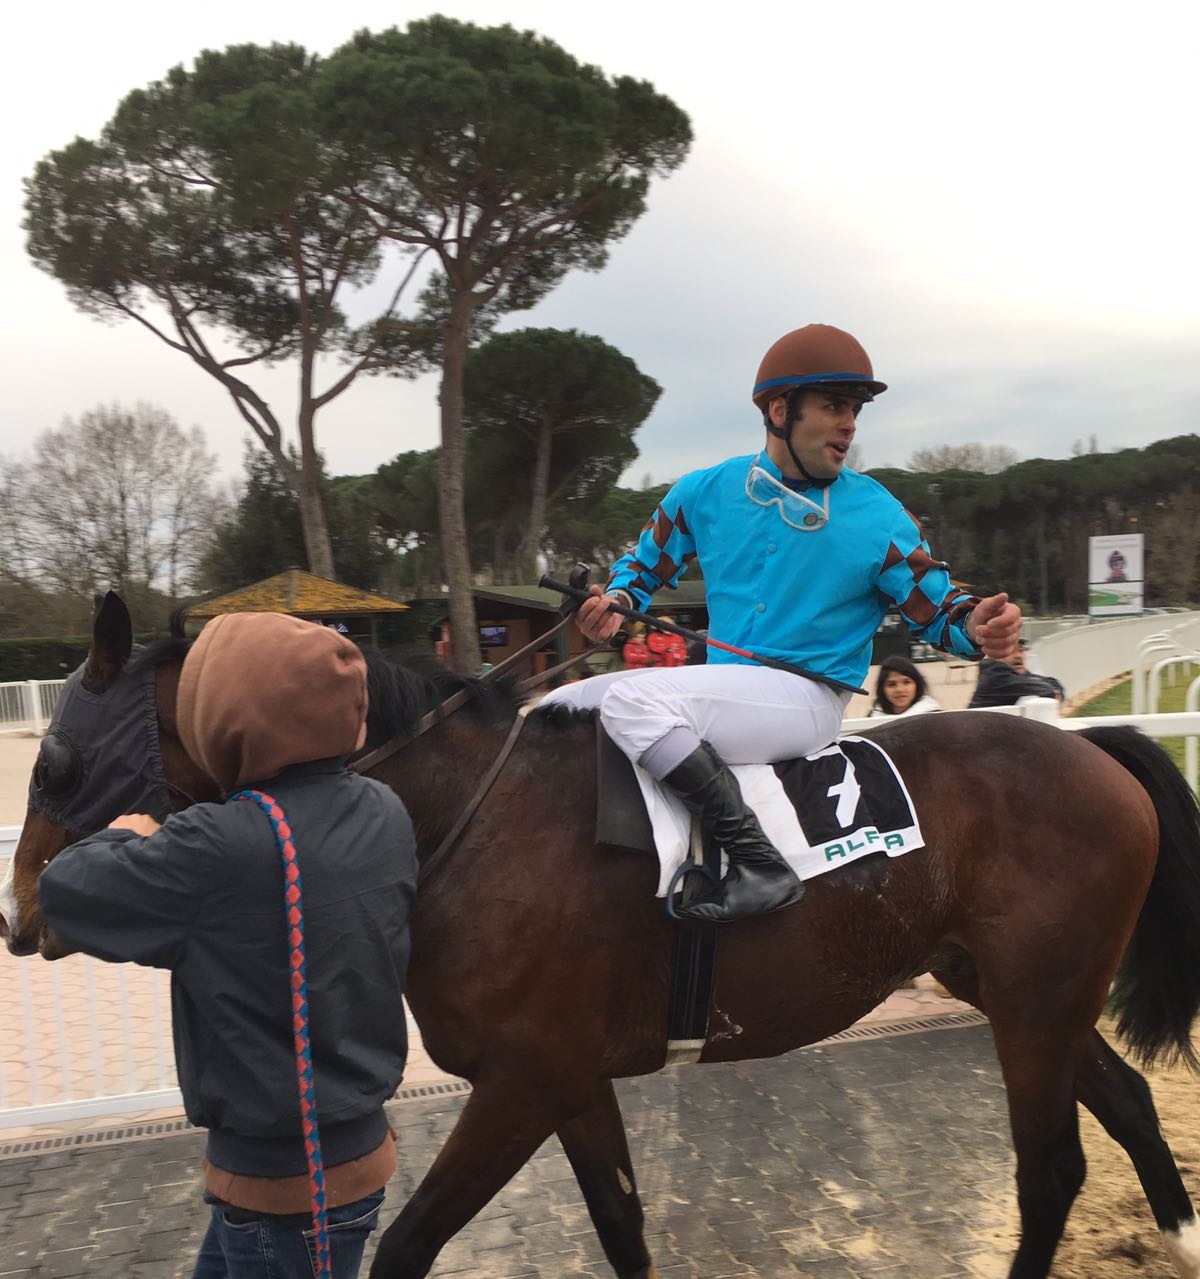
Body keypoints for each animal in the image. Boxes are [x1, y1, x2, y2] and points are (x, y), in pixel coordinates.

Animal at [2, 590, 1197, 1279]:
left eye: (54, 759)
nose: (24, 912)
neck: (466, 818)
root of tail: (1090, 746)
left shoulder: (523, 1079)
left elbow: (409, 1243)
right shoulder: (572, 1082)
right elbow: (622, 1226)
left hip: (1035, 999)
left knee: (1050, 1169)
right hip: (1012, 987)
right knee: (1128, 1102)